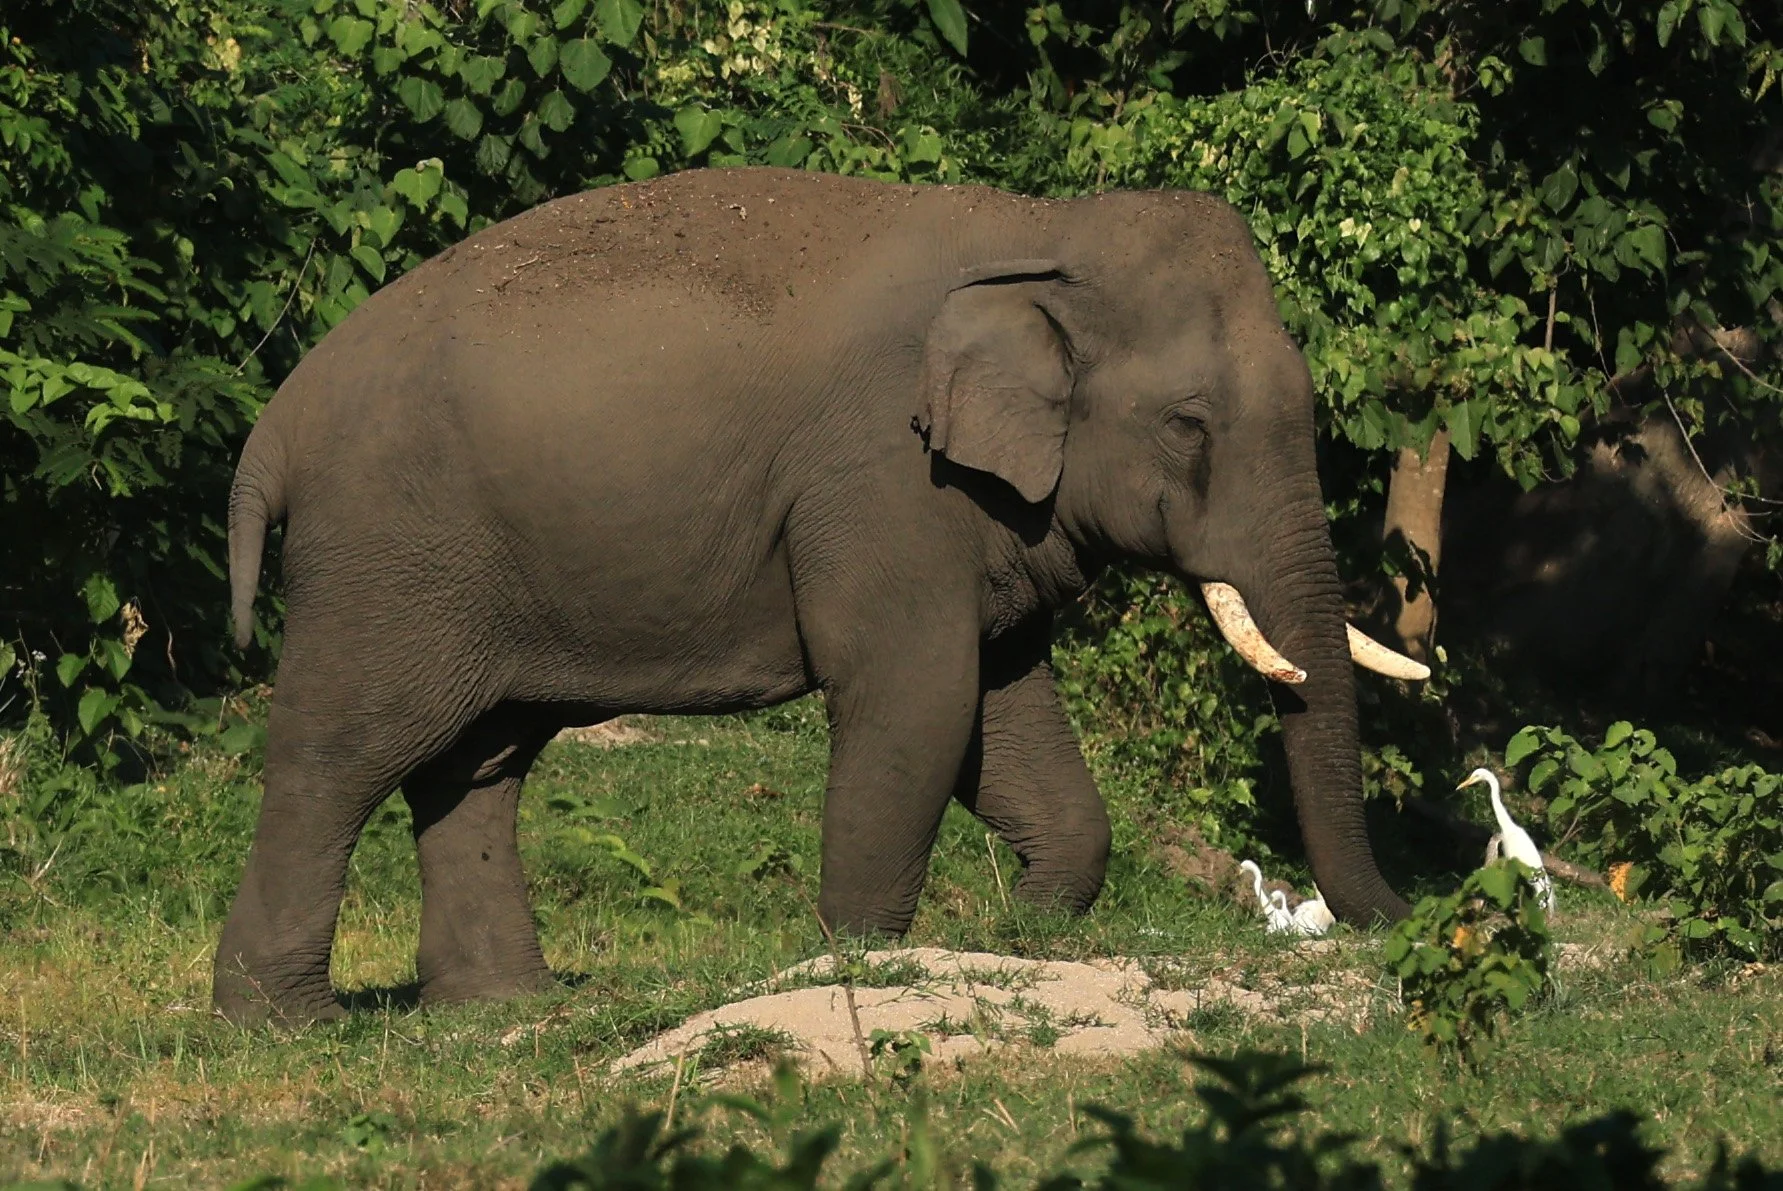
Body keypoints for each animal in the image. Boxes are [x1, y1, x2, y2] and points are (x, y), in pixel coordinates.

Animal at [215, 166, 1425, 1025]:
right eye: (1187, 423)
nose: (1404, 921)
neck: (1041, 232)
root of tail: (274, 427)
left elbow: (1000, 709)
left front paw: (1029, 930)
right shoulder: (881, 476)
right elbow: (915, 699)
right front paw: (857, 957)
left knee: (477, 764)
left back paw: (502, 1007)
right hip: (387, 554)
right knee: (343, 755)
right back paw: (282, 1024)